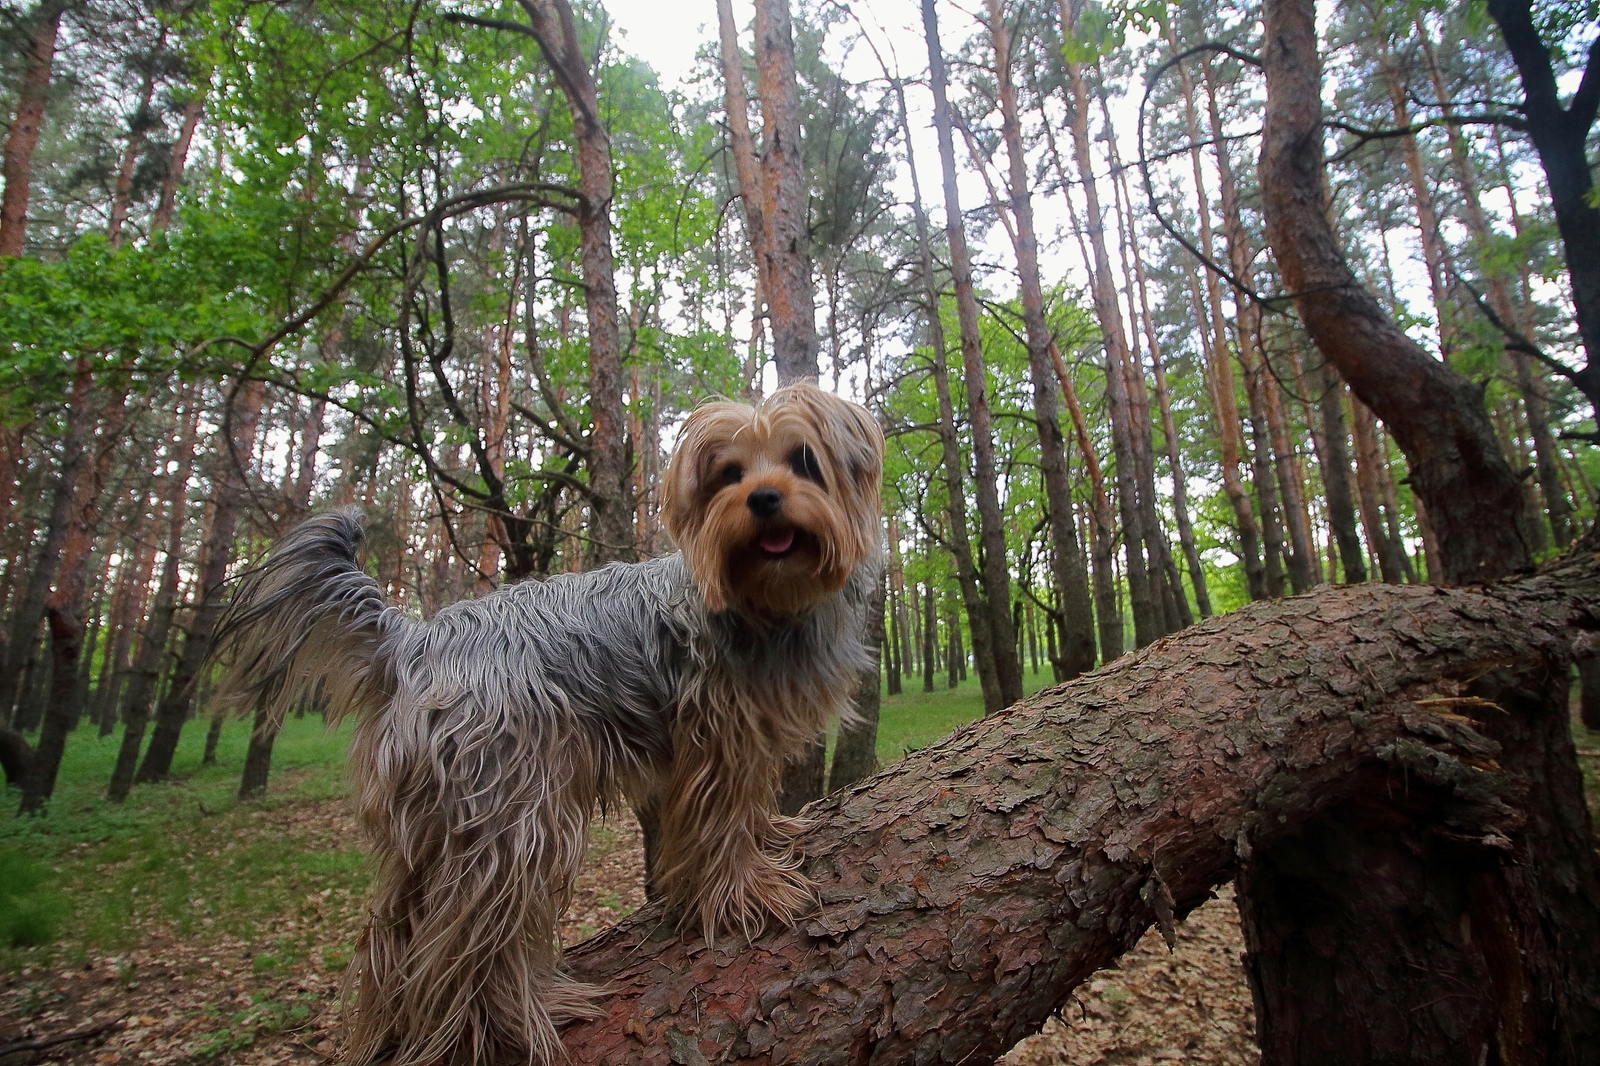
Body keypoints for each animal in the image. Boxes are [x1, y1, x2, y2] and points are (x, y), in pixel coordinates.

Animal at [211, 382, 883, 1062]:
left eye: (803, 460)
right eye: (729, 474)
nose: (764, 498)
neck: (766, 598)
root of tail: (416, 640)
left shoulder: (747, 737)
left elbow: (748, 806)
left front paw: (771, 834)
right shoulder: (717, 740)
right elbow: (721, 825)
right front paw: (749, 892)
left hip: (434, 822)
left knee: (396, 935)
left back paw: (395, 1032)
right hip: (513, 809)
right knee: (466, 939)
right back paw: (512, 1022)